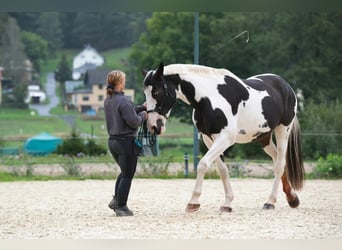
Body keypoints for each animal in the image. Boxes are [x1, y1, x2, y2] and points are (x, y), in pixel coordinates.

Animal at [142, 62, 304, 213]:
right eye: (145, 93)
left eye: (156, 91)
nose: (154, 126)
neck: (208, 98)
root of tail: (286, 87)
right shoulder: (208, 138)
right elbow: (222, 170)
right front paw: (227, 203)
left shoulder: (225, 138)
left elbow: (203, 164)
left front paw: (193, 202)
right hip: (264, 138)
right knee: (277, 160)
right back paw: (292, 198)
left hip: (283, 130)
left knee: (279, 164)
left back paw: (270, 202)